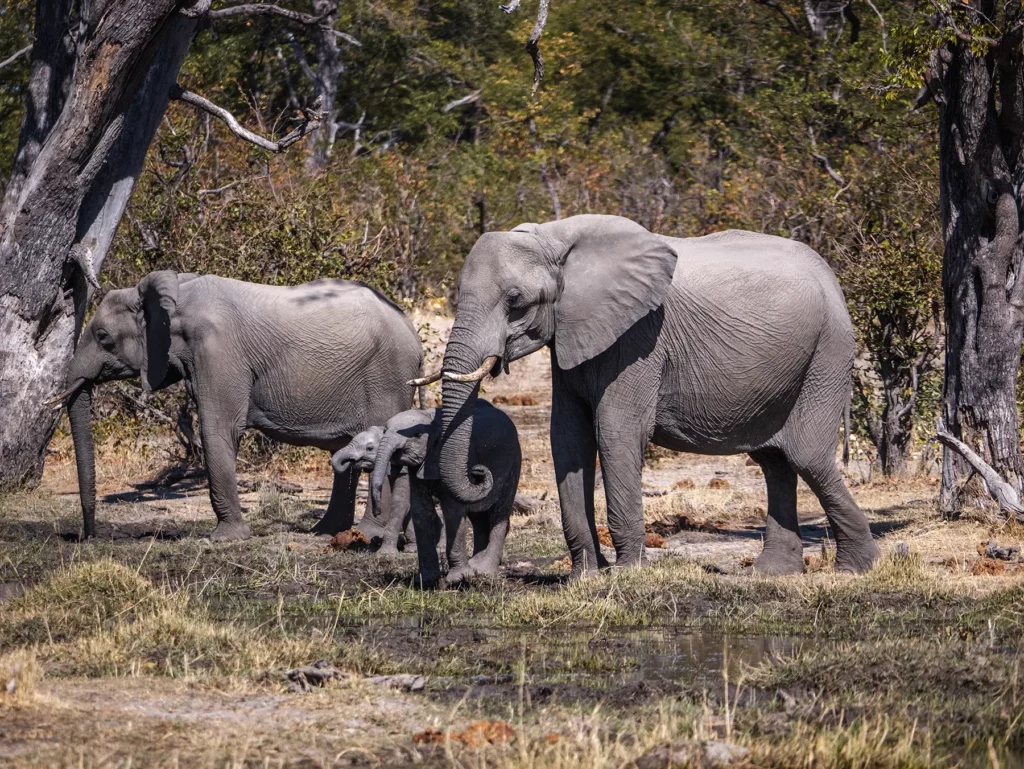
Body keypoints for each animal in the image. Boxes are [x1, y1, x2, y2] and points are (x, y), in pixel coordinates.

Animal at [57, 270, 423, 542]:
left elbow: (218, 428)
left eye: (103, 337)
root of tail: (413, 332)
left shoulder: (219, 352)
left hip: (387, 376)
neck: (176, 295)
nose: (89, 536)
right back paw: (324, 533)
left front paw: (225, 539)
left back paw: (367, 535)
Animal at [340, 401, 520, 587]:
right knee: (478, 517)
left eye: (369, 448)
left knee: (499, 511)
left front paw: (457, 579)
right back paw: (475, 566)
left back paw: (485, 570)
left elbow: (447, 508)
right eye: (385, 432)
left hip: (513, 463)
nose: (377, 511)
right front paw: (425, 580)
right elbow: (420, 508)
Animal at [428, 214, 880, 578]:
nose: (479, 473)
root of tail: (833, 278)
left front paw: (627, 574)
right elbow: (569, 439)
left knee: (806, 455)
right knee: (774, 460)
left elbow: (616, 432)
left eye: (515, 300)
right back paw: (772, 573)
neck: (555, 238)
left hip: (828, 352)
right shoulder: (571, 335)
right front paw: (585, 577)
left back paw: (857, 568)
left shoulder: (639, 337)